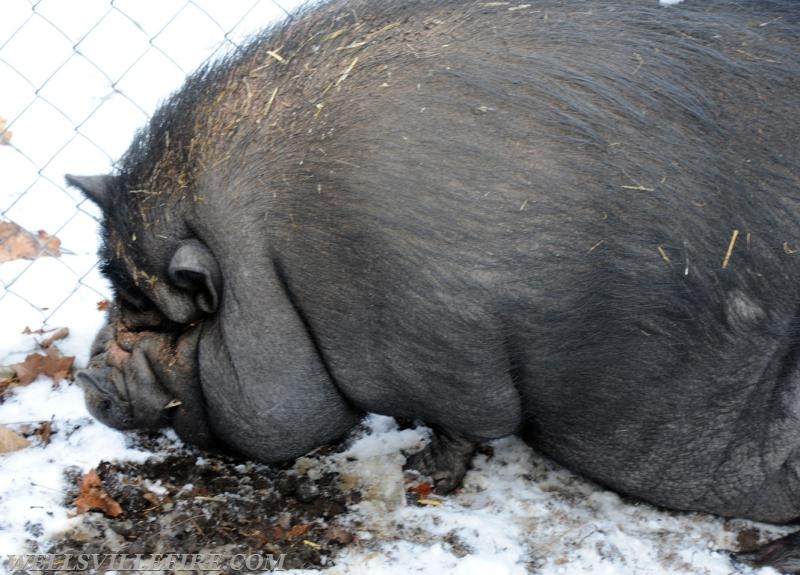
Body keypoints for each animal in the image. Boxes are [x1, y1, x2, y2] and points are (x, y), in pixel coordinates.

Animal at [70, 0, 800, 572]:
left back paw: (756, 555)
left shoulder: (443, 349)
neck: (281, 268)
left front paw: (418, 471)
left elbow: (466, 423)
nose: (85, 379)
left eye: (147, 309)